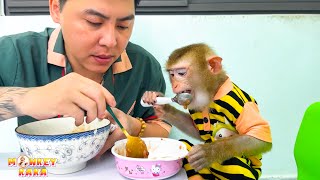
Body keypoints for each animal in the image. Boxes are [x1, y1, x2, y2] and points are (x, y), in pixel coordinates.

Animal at [142, 43, 272, 179]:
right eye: (172, 75)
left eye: (181, 73)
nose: (175, 85)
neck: (211, 94)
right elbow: (195, 131)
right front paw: (163, 106)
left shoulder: (241, 105)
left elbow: (260, 138)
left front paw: (209, 152)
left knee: (232, 162)